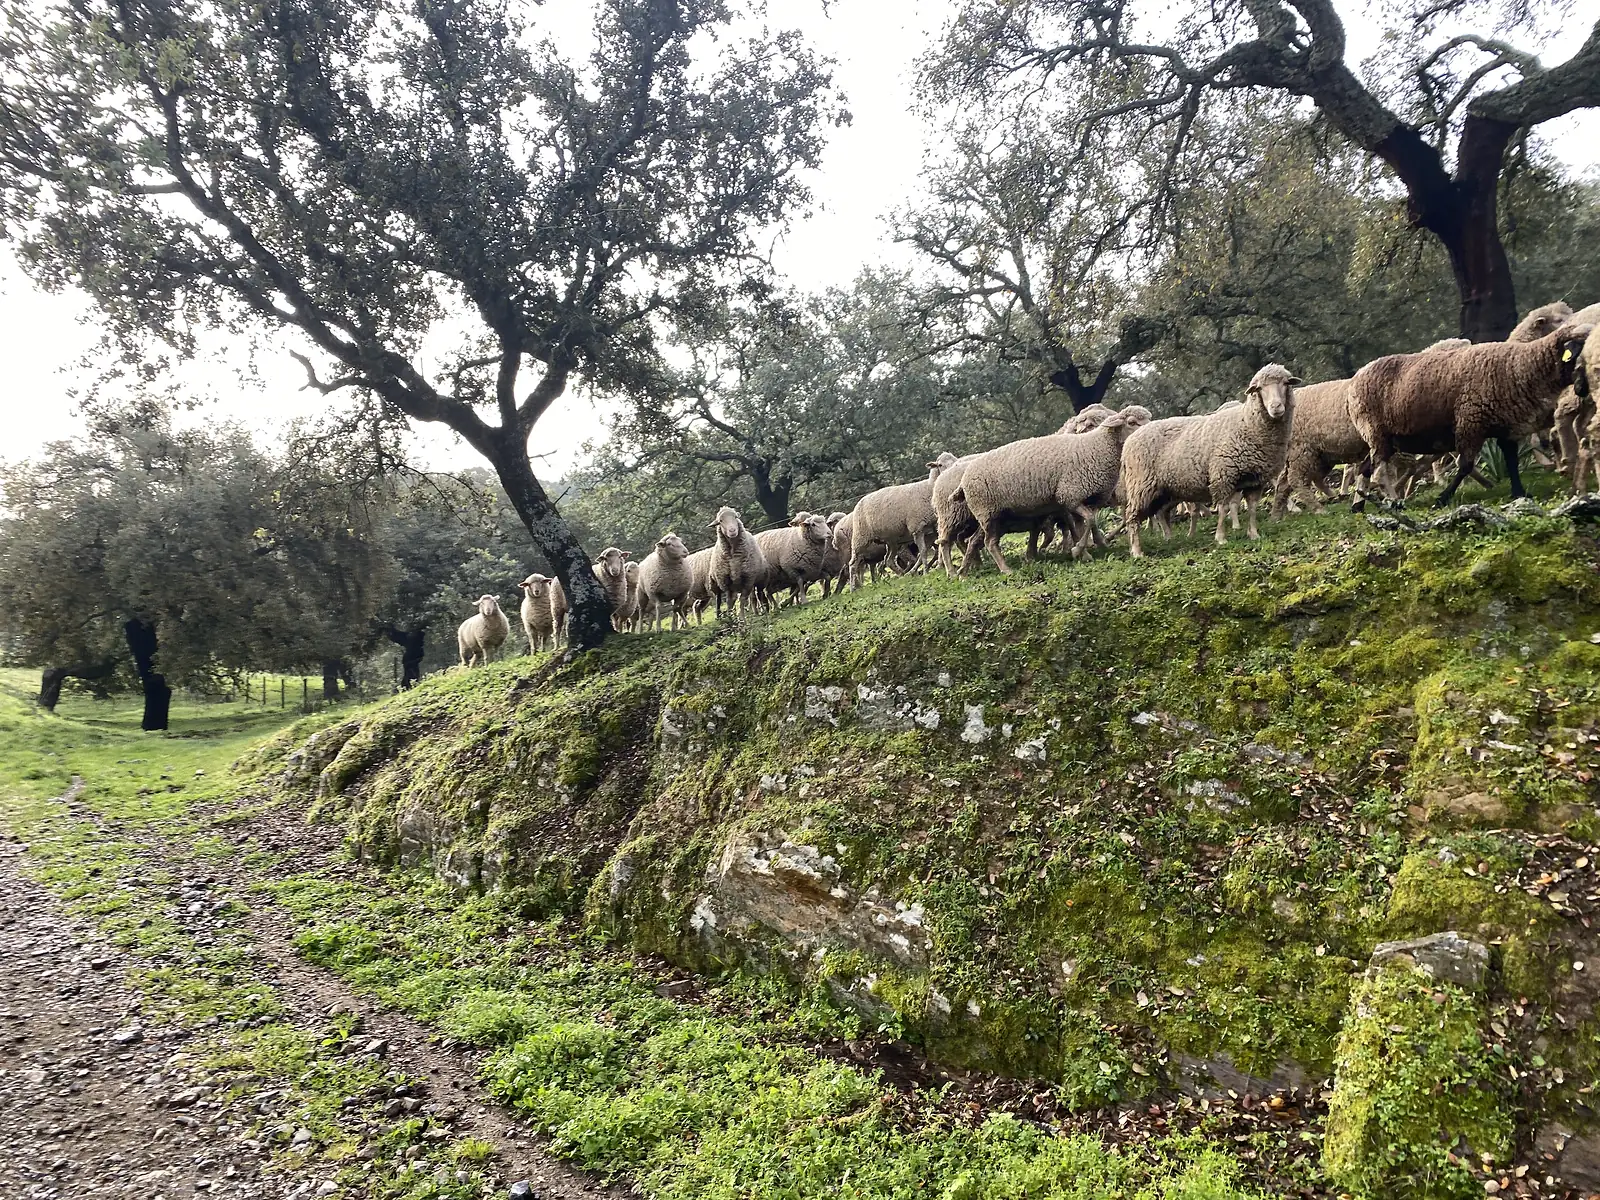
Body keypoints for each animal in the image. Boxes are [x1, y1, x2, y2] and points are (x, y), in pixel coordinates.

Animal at [838, 453, 957, 587]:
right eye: (940, 465)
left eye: (954, 460)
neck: (928, 487)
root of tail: (859, 502)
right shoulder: (917, 528)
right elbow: (923, 551)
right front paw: (926, 571)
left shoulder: (931, 529)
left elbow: (932, 550)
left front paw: (935, 567)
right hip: (860, 538)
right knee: (853, 563)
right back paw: (854, 587)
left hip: (892, 541)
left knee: (888, 560)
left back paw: (902, 574)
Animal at [953, 406, 1153, 574]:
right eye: (1132, 422)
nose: (1150, 431)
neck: (1095, 447)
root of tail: (963, 480)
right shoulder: (1070, 496)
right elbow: (1088, 521)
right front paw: (1077, 550)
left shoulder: (1087, 499)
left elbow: (1087, 524)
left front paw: (1084, 552)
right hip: (987, 512)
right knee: (989, 542)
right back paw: (1005, 569)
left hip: (994, 515)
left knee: (975, 540)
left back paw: (963, 572)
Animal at [1123, 364, 1301, 558]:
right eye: (1259, 389)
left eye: (1285, 383)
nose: (1276, 407)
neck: (1247, 423)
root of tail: (1128, 442)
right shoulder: (1223, 475)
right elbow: (1223, 508)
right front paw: (1221, 538)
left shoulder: (1255, 480)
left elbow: (1252, 508)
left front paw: (1254, 534)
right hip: (1141, 486)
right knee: (1132, 517)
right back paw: (1137, 551)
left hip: (1164, 490)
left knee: (1161, 513)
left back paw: (1168, 539)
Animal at [1347, 318, 1595, 507]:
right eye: (1579, 353)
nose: (1584, 389)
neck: (1520, 367)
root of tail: (1355, 381)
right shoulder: (1470, 422)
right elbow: (1465, 466)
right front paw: (1442, 499)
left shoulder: (1505, 427)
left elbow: (1512, 461)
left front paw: (1520, 493)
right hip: (1376, 431)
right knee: (1379, 472)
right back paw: (1395, 502)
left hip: (1382, 438)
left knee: (1365, 468)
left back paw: (1358, 506)